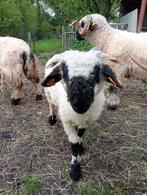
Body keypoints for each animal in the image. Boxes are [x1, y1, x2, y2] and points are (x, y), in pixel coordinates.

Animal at [41, 49, 121, 181]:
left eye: (96, 71)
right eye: (64, 72)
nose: (80, 103)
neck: (80, 114)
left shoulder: (85, 121)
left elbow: (80, 135)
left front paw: (81, 147)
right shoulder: (67, 121)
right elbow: (74, 144)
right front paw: (75, 171)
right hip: (48, 94)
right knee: (51, 104)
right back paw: (52, 118)